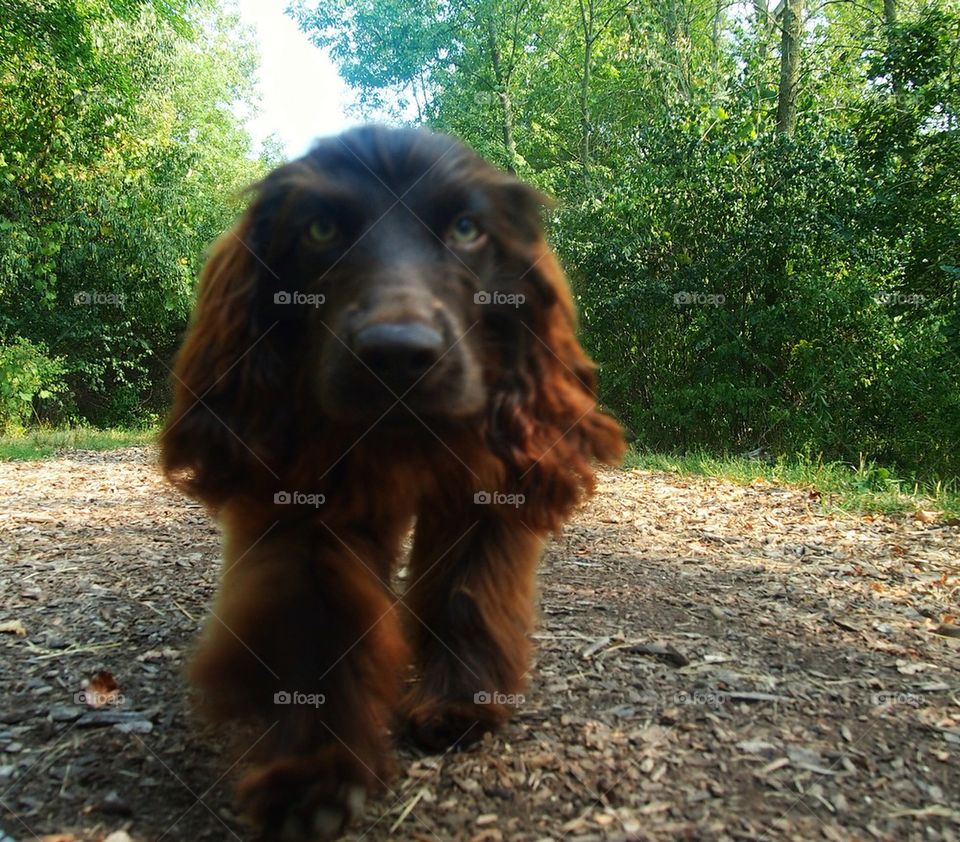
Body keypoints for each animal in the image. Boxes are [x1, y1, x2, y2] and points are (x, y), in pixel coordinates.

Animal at [159, 123, 624, 832]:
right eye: (320, 229)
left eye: (466, 228)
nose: (399, 355)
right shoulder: (309, 504)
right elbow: (319, 624)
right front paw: (313, 776)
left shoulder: (483, 489)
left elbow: (466, 593)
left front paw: (458, 703)